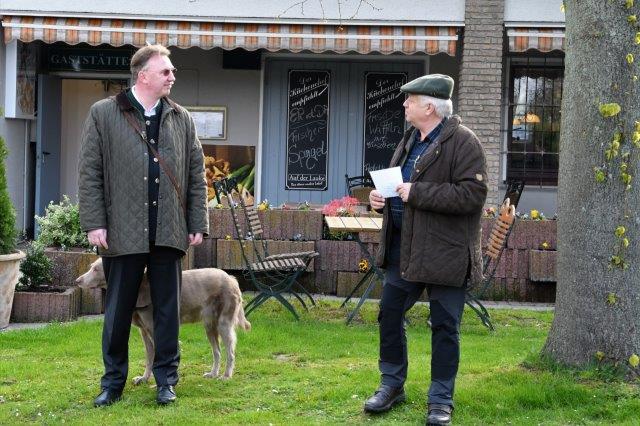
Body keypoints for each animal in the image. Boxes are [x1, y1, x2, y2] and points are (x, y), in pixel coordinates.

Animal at [76, 259, 251, 383]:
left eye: (95, 269)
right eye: (91, 267)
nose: (77, 281)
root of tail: (231, 278)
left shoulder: (155, 331)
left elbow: (159, 358)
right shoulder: (144, 332)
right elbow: (149, 358)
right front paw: (144, 378)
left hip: (223, 323)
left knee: (230, 352)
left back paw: (226, 376)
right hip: (209, 325)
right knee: (217, 351)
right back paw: (213, 373)